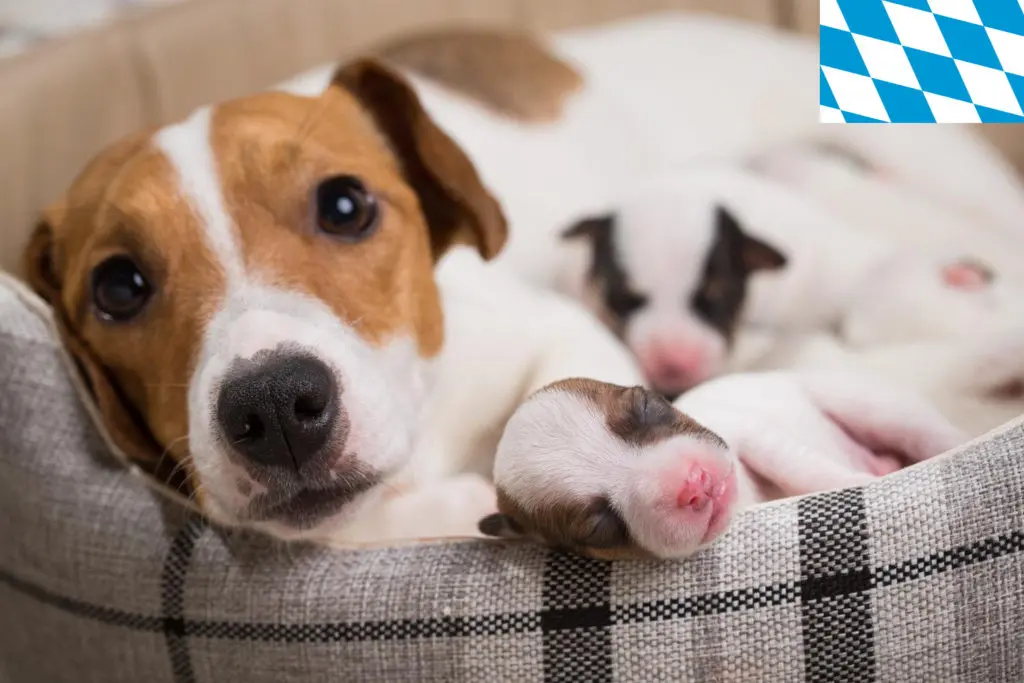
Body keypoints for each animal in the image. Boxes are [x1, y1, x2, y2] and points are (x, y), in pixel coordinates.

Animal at [483, 368, 962, 561]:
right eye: (600, 526)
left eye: (646, 406)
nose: (694, 483)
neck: (747, 500)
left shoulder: (750, 435)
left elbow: (800, 465)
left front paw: (853, 482)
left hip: (870, 404)